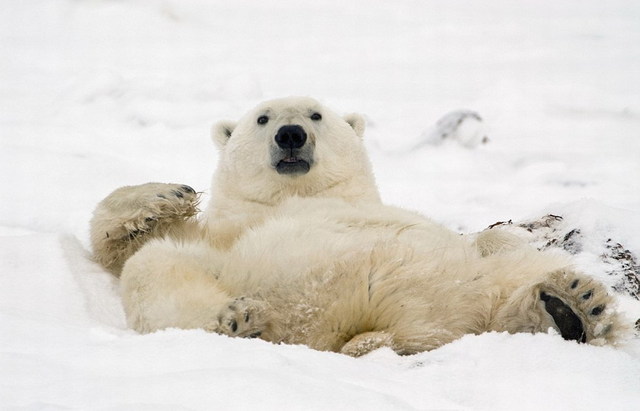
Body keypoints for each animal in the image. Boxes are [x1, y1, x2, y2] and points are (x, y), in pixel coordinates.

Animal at [90, 97, 624, 358]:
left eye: (315, 114)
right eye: (262, 118)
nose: (291, 134)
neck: (298, 195)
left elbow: (492, 239)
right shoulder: (226, 234)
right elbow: (132, 249)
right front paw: (166, 195)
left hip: (470, 288)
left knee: (509, 283)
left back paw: (574, 305)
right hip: (242, 275)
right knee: (159, 274)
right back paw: (237, 320)